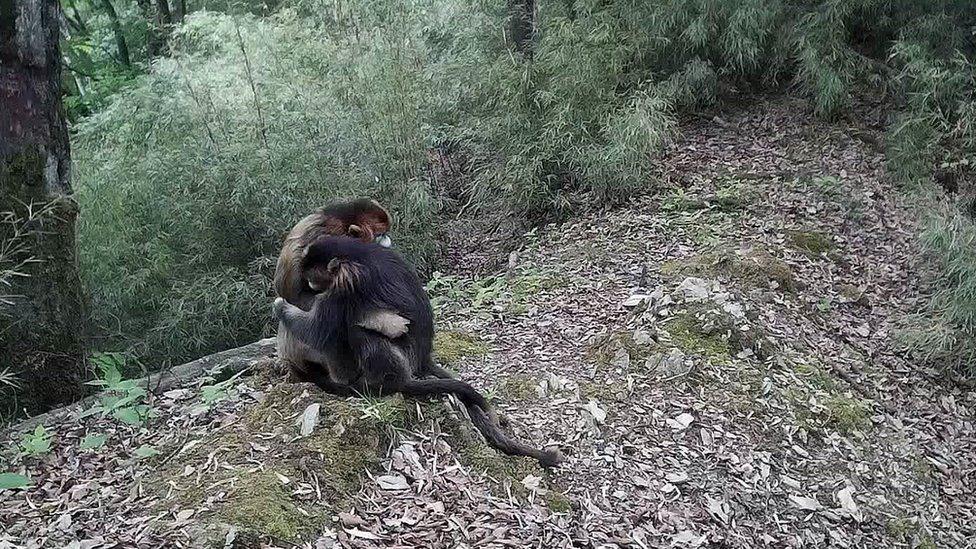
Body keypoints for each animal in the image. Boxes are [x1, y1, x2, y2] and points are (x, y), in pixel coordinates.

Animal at [274, 235, 564, 466]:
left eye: (312, 276)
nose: (310, 285)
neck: (355, 254)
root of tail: (422, 359)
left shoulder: (346, 282)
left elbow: (319, 330)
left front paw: (280, 306)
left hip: (402, 358)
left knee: (356, 330)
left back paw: (380, 384)